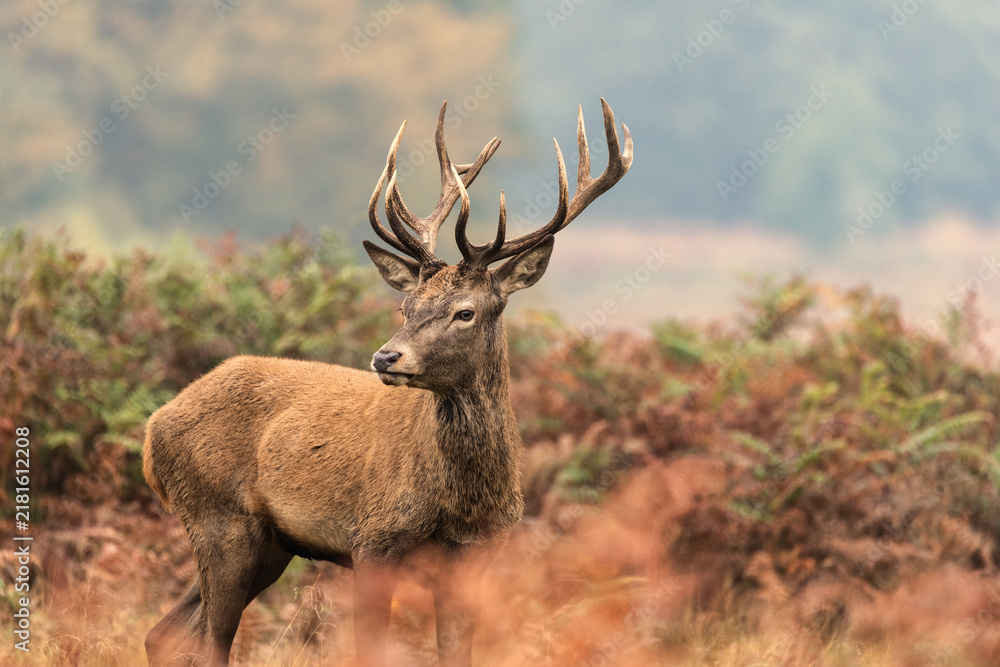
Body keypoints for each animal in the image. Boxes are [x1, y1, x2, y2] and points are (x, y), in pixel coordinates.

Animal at [142, 98, 632, 666]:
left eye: (465, 312)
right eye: (406, 305)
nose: (385, 356)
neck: (460, 505)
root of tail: (152, 431)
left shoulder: (475, 559)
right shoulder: (373, 541)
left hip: (267, 543)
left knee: (166, 630)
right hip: (219, 519)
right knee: (207, 643)